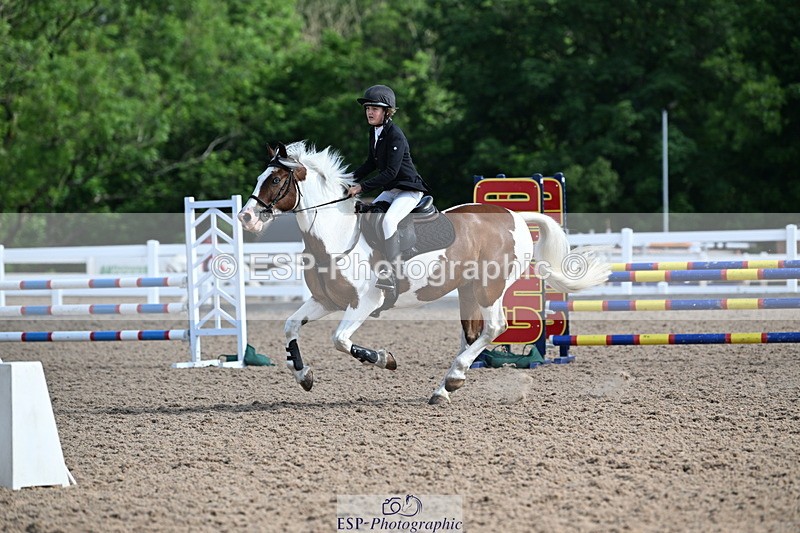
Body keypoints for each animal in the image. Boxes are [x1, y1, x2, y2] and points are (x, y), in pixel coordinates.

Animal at [238, 141, 609, 404]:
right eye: (260, 178)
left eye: (275, 179)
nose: (246, 218)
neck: (336, 235)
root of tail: (514, 216)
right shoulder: (325, 302)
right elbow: (289, 327)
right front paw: (304, 376)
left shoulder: (363, 304)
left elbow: (341, 340)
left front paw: (384, 359)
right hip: (467, 290)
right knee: (473, 334)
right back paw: (446, 386)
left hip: (490, 287)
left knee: (495, 327)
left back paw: (453, 379)